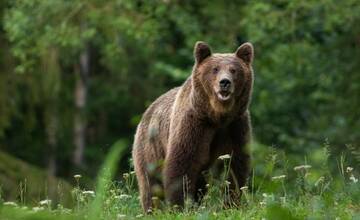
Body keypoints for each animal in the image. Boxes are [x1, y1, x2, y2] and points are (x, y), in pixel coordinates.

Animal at [132, 40, 253, 212]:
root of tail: (148, 110)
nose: (225, 82)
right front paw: (180, 206)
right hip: (150, 148)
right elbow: (181, 165)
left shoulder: (234, 126)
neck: (216, 116)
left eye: (234, 70)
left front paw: (231, 204)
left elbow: (235, 166)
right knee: (151, 184)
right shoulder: (193, 125)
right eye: (215, 69)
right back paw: (153, 209)